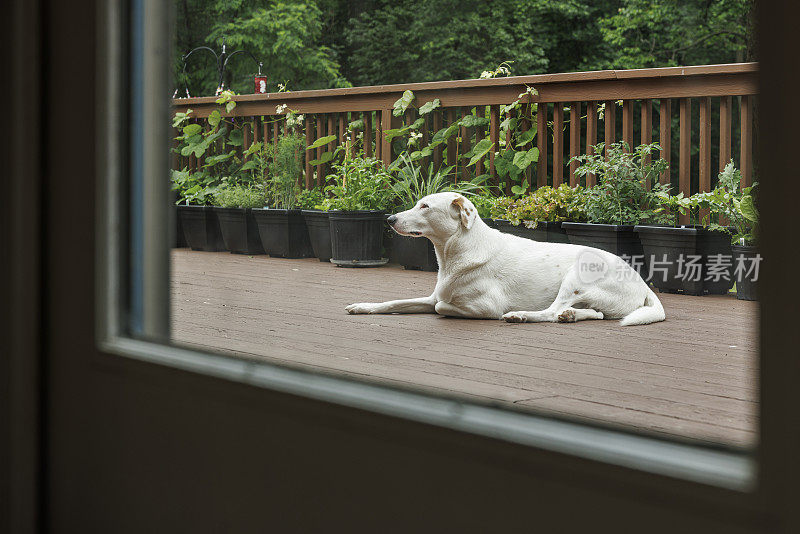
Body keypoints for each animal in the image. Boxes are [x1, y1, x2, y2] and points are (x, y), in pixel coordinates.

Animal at [346, 193, 664, 326]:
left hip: (578, 275)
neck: (455, 254)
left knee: (550, 312)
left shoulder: (484, 306)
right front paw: (363, 306)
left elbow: (440, 308)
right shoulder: (431, 295)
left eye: (425, 206)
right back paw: (572, 316)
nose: (389, 219)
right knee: (591, 313)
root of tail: (642, 283)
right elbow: (393, 303)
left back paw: (521, 315)